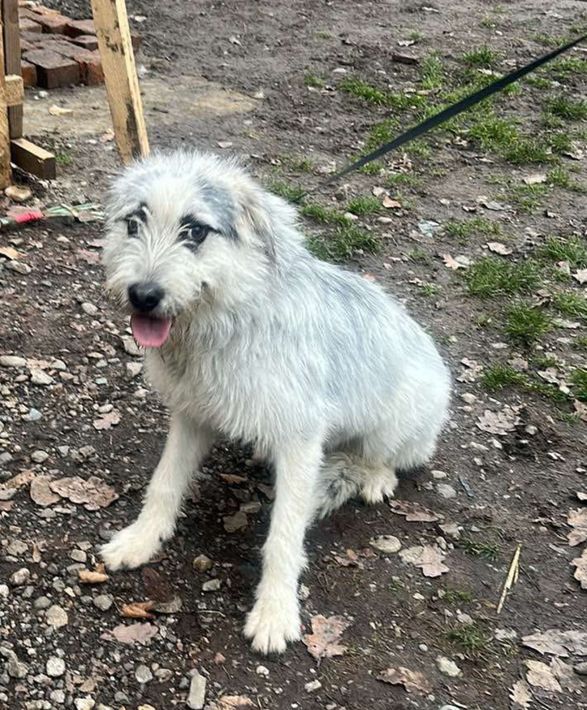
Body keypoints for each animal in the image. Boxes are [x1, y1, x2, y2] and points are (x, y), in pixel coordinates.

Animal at [100, 150, 451, 654]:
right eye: (134, 223)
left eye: (195, 230)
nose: (143, 295)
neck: (227, 323)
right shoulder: (190, 416)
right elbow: (164, 483)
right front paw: (140, 540)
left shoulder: (301, 441)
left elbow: (284, 535)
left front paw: (275, 612)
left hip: (396, 419)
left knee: (389, 460)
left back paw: (366, 477)